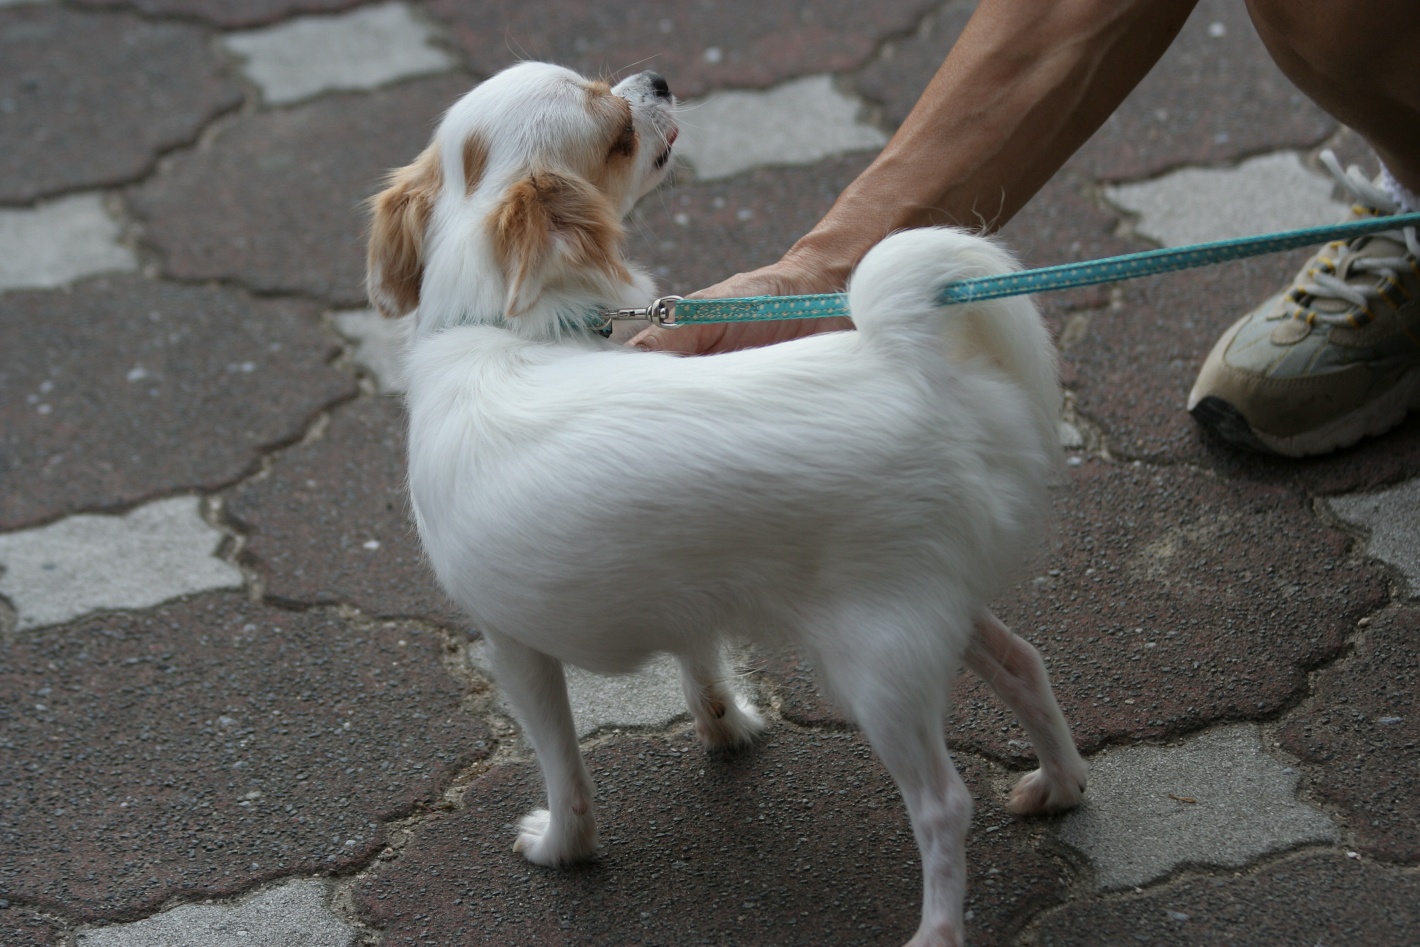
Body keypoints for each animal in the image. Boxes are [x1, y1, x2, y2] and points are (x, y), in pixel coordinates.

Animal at [369, 61, 1084, 947]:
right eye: (617, 132)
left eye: (613, 102)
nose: (657, 78)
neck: (496, 329)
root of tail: (910, 359)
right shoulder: (685, 592)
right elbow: (699, 659)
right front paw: (725, 725)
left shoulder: (514, 646)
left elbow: (563, 765)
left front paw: (563, 846)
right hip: (929, 607)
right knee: (1024, 664)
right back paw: (1060, 785)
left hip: (874, 662)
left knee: (944, 805)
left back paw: (938, 929)